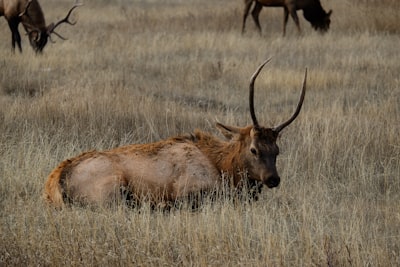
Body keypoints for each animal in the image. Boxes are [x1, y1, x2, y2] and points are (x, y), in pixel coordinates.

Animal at [43, 60, 306, 209]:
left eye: (277, 150)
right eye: (254, 149)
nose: (273, 179)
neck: (223, 168)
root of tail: (55, 183)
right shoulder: (188, 191)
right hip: (112, 191)